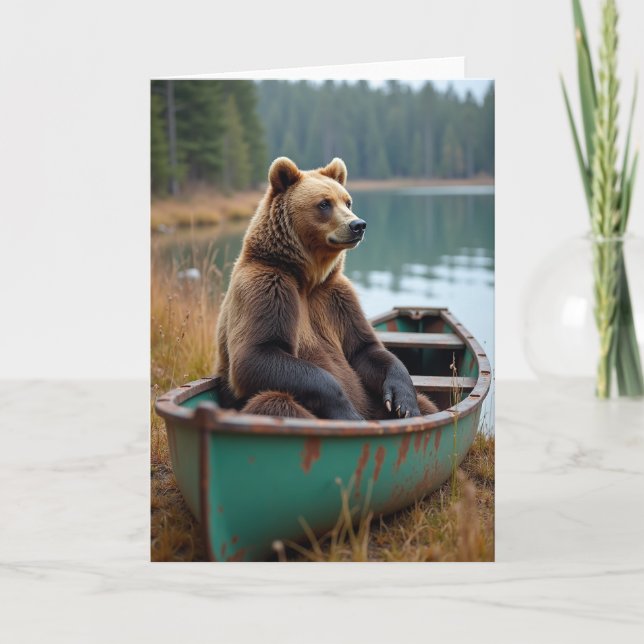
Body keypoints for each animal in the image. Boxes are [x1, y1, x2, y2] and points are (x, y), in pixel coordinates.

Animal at [214, 156, 438, 421]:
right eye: (324, 203)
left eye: (347, 200)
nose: (358, 224)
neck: (308, 278)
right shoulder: (268, 286)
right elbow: (257, 354)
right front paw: (347, 412)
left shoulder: (336, 297)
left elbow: (364, 348)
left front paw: (404, 402)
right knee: (274, 402)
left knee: (429, 404)